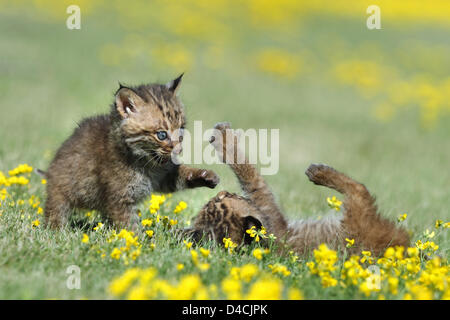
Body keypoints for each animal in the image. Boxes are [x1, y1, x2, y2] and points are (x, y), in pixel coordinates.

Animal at [43, 74, 219, 230]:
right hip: (60, 191)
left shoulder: (164, 176)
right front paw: (138, 242)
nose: (179, 150)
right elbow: (129, 224)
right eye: (162, 135)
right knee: (55, 210)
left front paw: (205, 175)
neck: (144, 161)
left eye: (181, 130)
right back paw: (56, 230)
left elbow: (182, 174)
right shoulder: (120, 199)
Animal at [185, 121, 410, 256]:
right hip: (358, 214)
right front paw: (225, 140)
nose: (221, 192)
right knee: (359, 189)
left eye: (220, 198)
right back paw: (319, 173)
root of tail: (406, 248)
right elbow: (249, 174)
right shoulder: (268, 209)